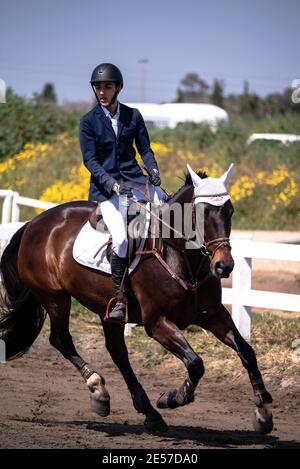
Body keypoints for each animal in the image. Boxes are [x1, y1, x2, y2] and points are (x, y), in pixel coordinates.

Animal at [0, 165, 274, 436]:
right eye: (202, 211)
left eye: (230, 210)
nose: (224, 266)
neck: (178, 255)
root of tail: (33, 224)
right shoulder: (157, 323)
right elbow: (196, 363)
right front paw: (172, 398)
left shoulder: (214, 315)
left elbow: (247, 352)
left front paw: (263, 412)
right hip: (55, 298)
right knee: (62, 341)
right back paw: (99, 390)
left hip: (105, 307)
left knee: (117, 351)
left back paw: (147, 412)